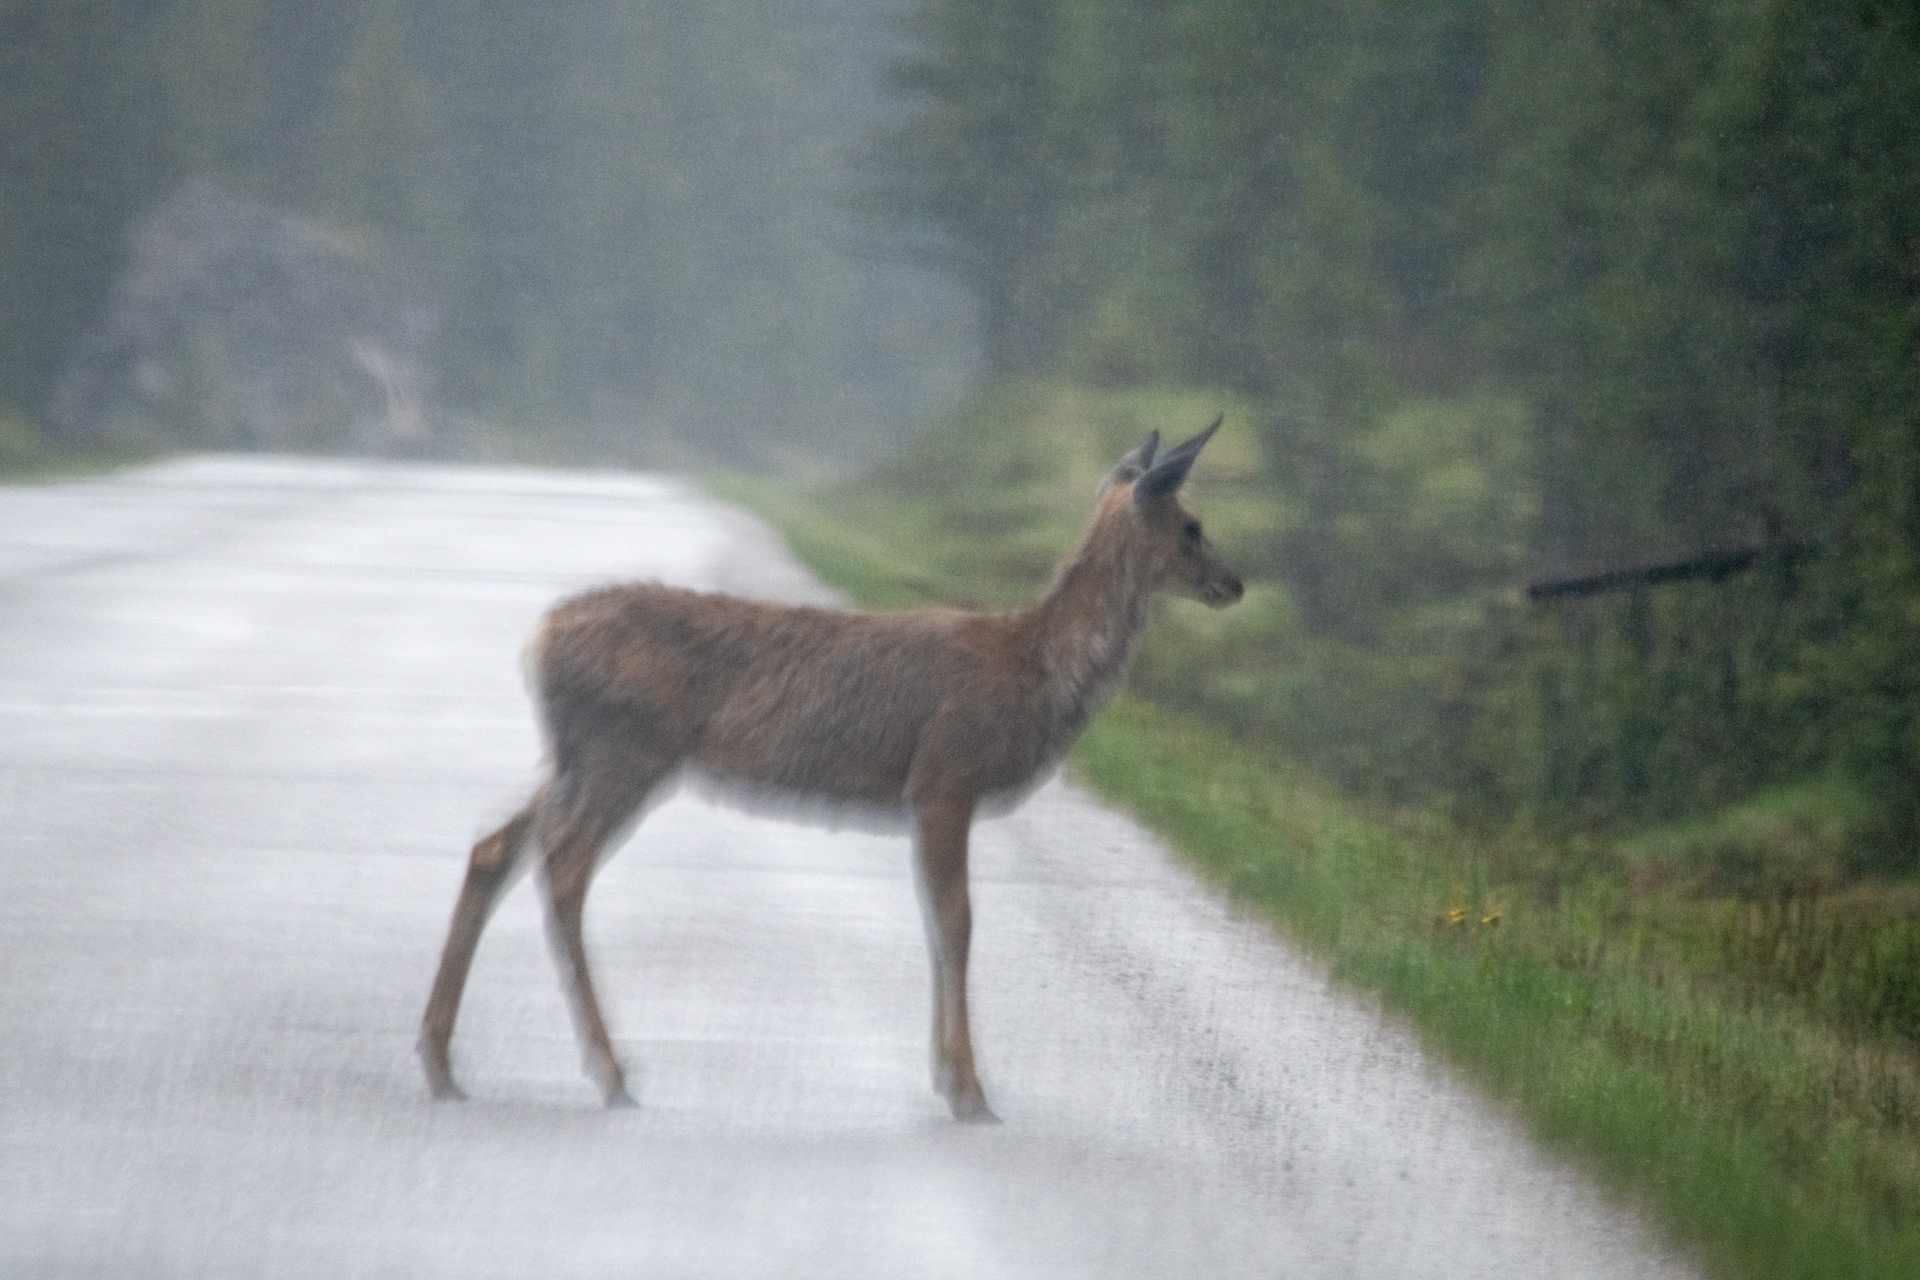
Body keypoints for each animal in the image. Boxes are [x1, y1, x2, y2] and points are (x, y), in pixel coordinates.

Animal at [418, 418, 1244, 1121]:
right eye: (1192, 525)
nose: (1235, 583)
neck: (1028, 675)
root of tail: (536, 637)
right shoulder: (945, 777)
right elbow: (957, 921)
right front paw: (970, 1092)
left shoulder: (932, 795)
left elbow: (936, 922)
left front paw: (947, 1078)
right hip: (627, 747)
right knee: (562, 867)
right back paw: (610, 1075)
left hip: (575, 755)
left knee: (494, 848)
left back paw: (441, 1064)